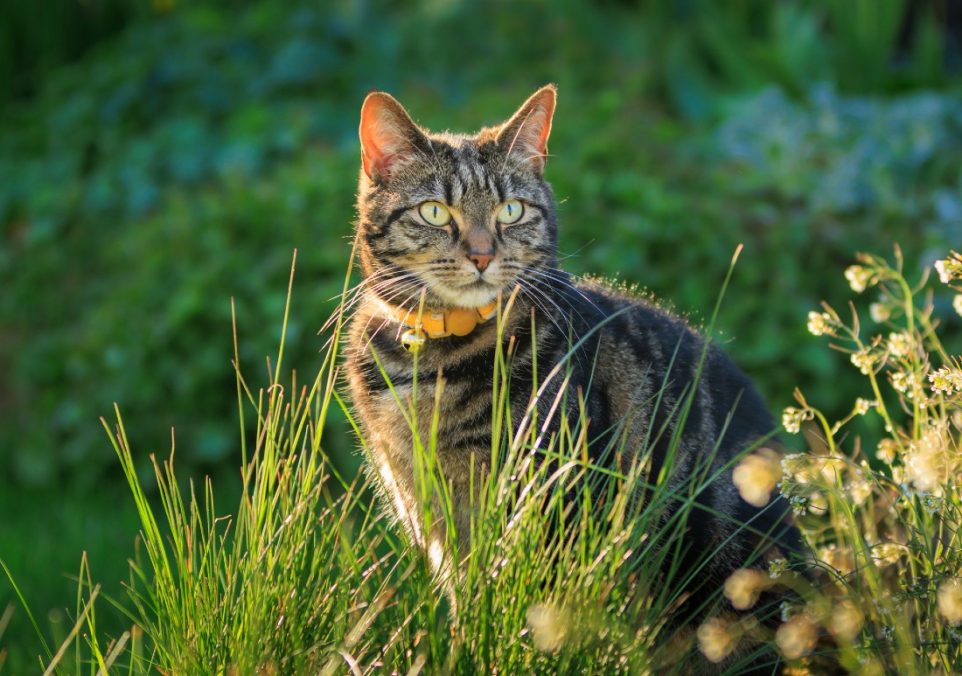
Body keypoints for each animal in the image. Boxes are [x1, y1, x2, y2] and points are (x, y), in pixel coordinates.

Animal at [342, 84, 800, 648]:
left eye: (510, 211)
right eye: (433, 212)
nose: (481, 254)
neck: (435, 359)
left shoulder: (547, 504)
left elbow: (525, 612)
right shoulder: (428, 511)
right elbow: (467, 601)